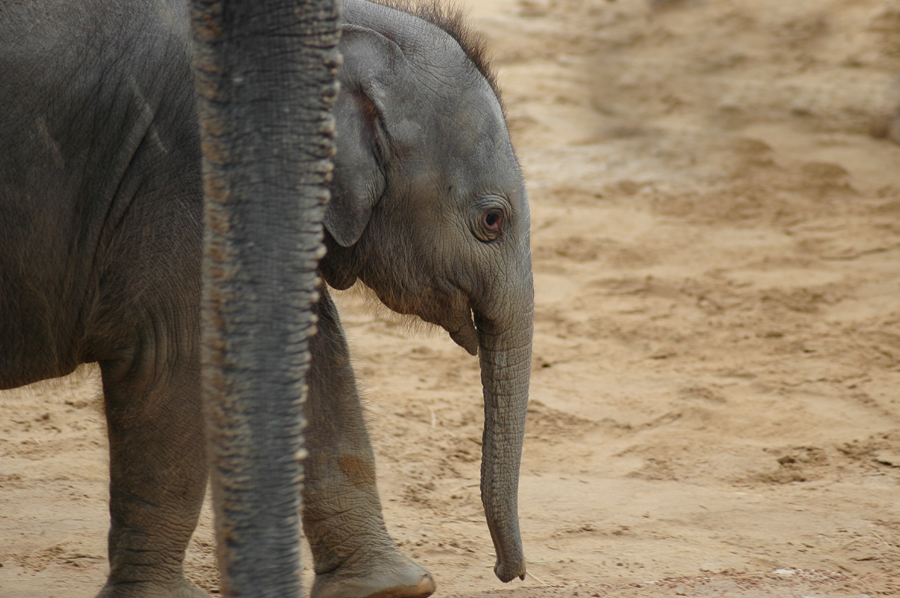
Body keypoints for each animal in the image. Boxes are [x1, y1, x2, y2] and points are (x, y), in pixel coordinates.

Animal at [0, 1, 532, 598]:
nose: (509, 571)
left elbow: (311, 359)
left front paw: (389, 588)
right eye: (492, 220)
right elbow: (175, 363)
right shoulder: (191, 176)